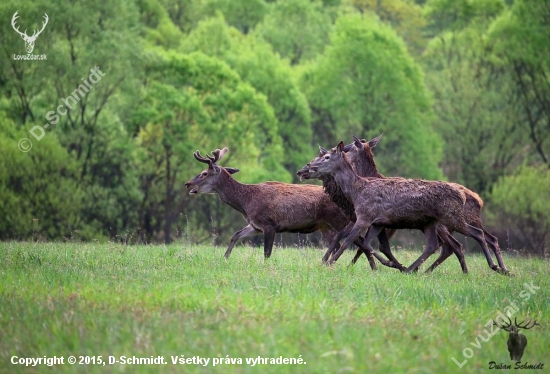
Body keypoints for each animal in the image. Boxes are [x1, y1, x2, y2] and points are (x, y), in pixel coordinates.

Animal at [185, 148, 402, 268]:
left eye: (204, 173)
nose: (188, 184)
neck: (246, 203)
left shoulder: (269, 224)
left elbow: (267, 252)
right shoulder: (255, 225)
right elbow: (235, 235)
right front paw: (225, 258)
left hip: (339, 220)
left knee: (359, 242)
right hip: (327, 227)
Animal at [306, 142, 504, 274]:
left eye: (327, 157)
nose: (309, 166)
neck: (356, 192)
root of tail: (463, 194)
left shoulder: (365, 217)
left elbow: (349, 241)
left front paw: (330, 263)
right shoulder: (378, 222)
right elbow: (370, 245)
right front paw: (392, 264)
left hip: (451, 217)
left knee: (477, 234)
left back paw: (495, 266)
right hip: (431, 222)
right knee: (434, 245)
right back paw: (412, 269)